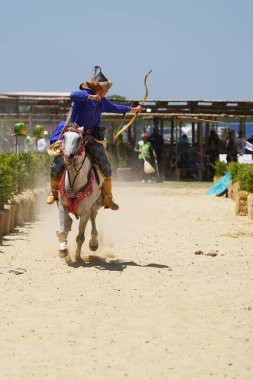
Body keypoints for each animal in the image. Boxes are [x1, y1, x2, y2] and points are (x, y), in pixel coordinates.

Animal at [57, 126, 104, 262]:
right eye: (63, 137)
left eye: (79, 139)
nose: (68, 156)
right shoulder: (62, 206)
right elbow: (62, 232)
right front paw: (63, 251)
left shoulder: (85, 212)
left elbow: (80, 237)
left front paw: (77, 257)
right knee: (68, 224)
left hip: (96, 204)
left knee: (93, 217)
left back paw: (93, 243)